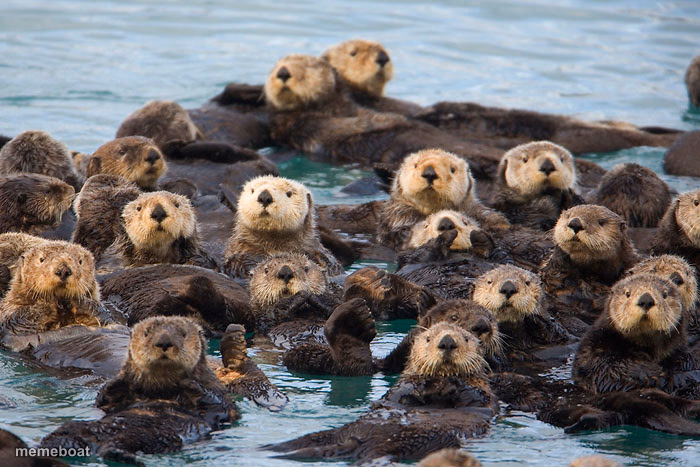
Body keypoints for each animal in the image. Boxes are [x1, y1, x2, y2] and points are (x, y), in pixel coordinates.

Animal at [40, 316, 238, 462]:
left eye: (183, 334)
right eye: (146, 333)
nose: (164, 342)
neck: (160, 389)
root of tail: (95, 442)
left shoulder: (217, 393)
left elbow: (219, 404)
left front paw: (189, 384)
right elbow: (104, 402)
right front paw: (117, 382)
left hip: (154, 437)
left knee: (121, 444)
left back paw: (120, 454)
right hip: (71, 430)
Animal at [269, 323, 497, 462]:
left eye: (466, 338)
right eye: (428, 339)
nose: (447, 341)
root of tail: (356, 439)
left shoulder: (484, 398)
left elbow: (473, 398)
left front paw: (449, 383)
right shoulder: (398, 389)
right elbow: (398, 393)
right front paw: (425, 385)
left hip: (430, 439)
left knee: (376, 454)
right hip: (331, 433)